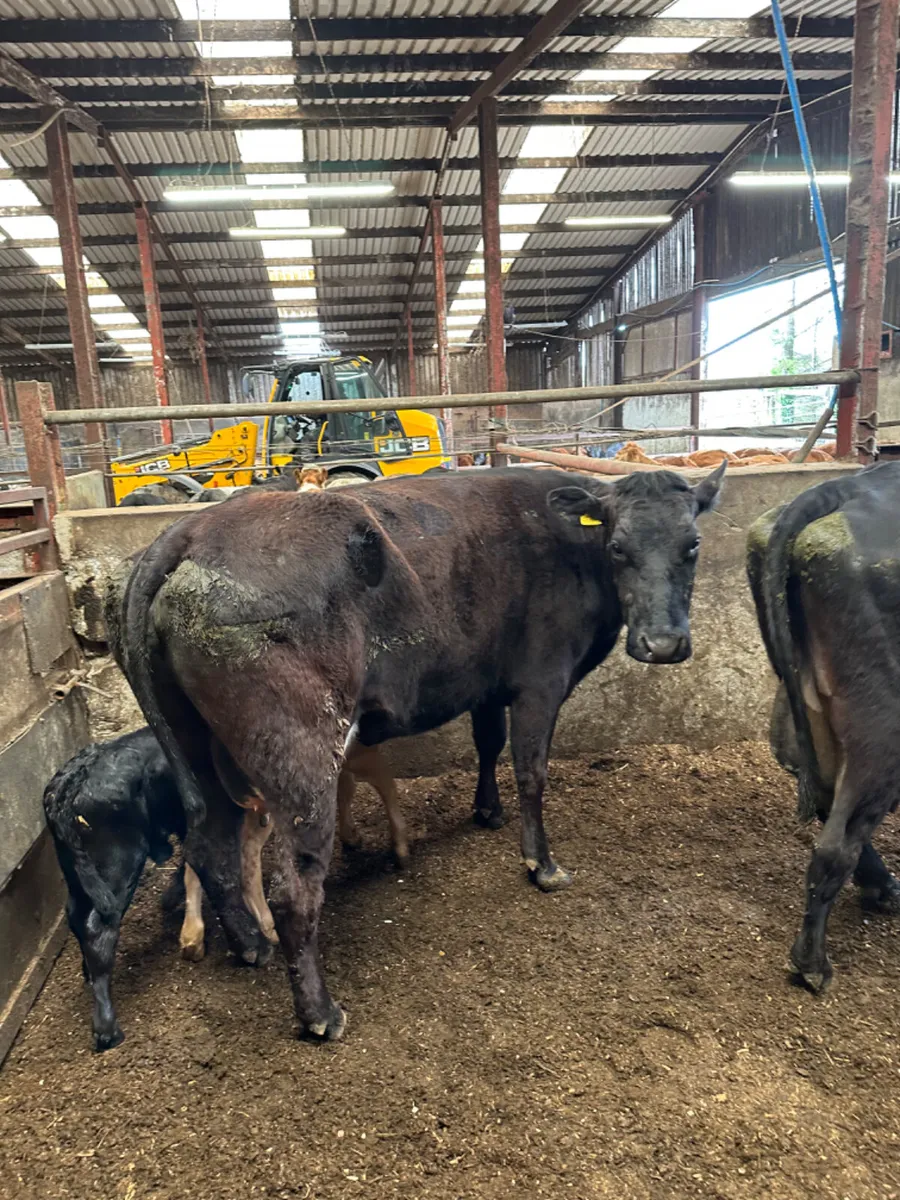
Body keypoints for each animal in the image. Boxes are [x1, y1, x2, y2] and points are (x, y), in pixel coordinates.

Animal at [114, 463, 725, 1041]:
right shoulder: (541, 681)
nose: (662, 644)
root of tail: (189, 531)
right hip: (300, 755)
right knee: (292, 886)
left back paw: (249, 947)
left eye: (693, 545)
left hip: (198, 750)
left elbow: (487, 742)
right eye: (618, 547)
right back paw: (320, 1013)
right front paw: (542, 864)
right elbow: (531, 770)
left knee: (208, 844)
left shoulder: (487, 679)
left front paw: (487, 811)